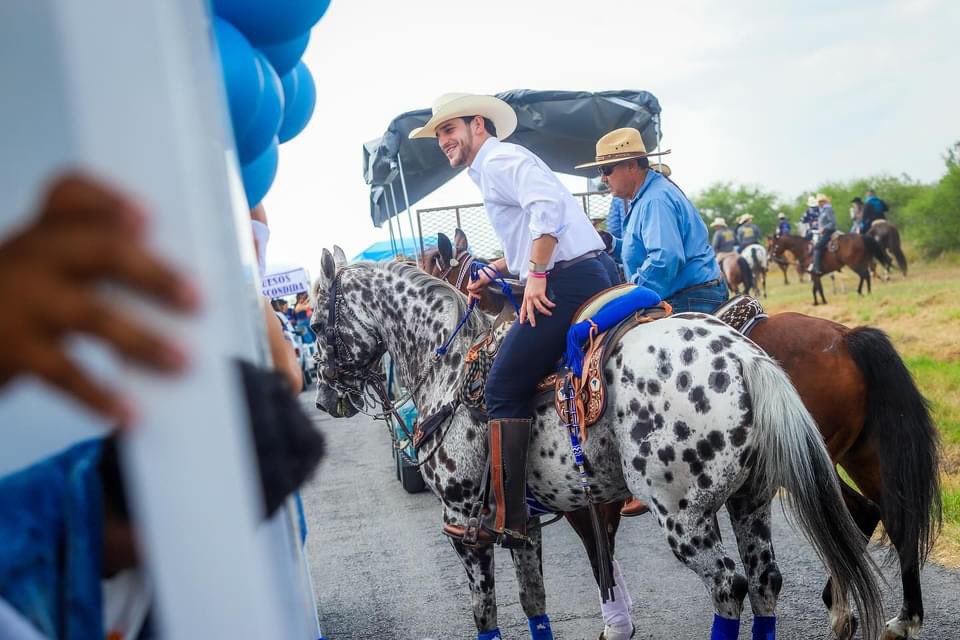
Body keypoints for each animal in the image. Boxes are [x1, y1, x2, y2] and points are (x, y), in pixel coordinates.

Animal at [312, 252, 880, 640]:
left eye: (315, 323)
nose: (323, 396)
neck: (451, 370)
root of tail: (744, 354)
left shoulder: (466, 527)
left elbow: (486, 612)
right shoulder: (525, 524)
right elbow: (535, 602)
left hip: (683, 515)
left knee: (729, 586)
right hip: (752, 499)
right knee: (766, 581)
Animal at [424, 230, 940, 640]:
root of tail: (846, 337)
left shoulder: (583, 500)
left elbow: (598, 555)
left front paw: (616, 624)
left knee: (852, 521)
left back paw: (848, 611)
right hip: (852, 456)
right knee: (886, 515)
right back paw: (894, 617)